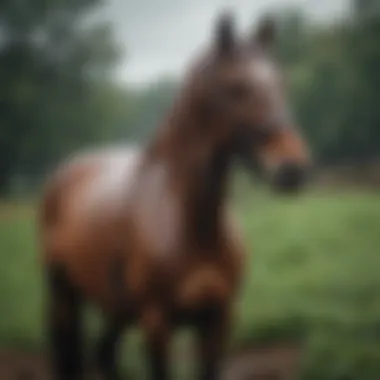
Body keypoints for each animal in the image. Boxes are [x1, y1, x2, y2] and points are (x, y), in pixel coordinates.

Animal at [40, 11, 310, 380]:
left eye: (281, 82)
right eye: (237, 87)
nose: (292, 169)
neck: (191, 224)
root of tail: (67, 170)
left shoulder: (218, 322)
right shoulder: (158, 325)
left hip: (118, 308)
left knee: (105, 352)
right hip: (64, 297)